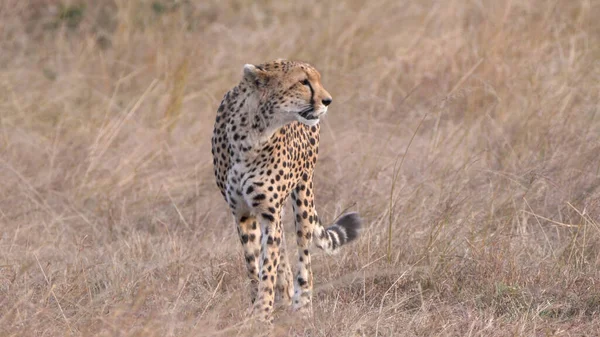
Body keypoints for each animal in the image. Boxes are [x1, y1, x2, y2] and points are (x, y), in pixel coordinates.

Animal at [211, 59, 360, 322]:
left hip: (303, 195)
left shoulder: (269, 213)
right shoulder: (243, 213)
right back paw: (286, 293)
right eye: (303, 82)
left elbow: (268, 265)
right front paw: (258, 306)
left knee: (304, 254)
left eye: (317, 79)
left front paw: (263, 313)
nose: (328, 100)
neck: (253, 132)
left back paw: (302, 305)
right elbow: (255, 264)